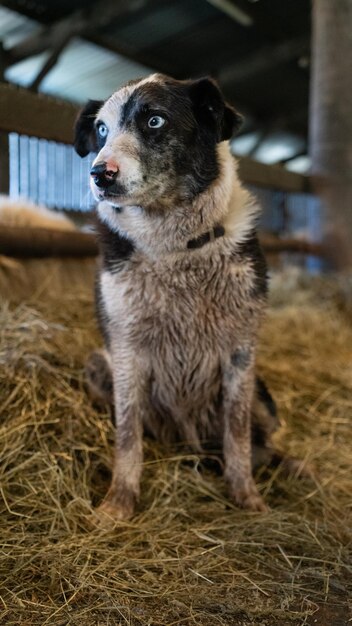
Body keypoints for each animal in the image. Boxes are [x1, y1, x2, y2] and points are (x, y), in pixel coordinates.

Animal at [74, 73, 280, 520]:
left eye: (155, 120)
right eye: (102, 130)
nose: (99, 174)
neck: (175, 249)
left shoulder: (241, 352)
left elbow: (237, 434)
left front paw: (247, 497)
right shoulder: (126, 349)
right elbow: (127, 434)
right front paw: (118, 504)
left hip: (263, 401)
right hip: (98, 364)